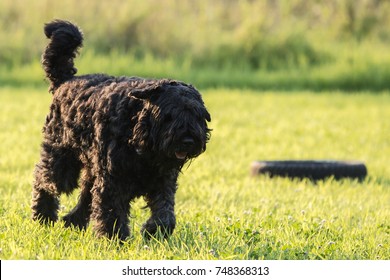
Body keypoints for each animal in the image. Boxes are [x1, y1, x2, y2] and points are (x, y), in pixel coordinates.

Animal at [30, 19, 212, 242]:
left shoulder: (162, 181)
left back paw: (73, 221)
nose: (188, 140)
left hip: (91, 169)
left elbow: (165, 211)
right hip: (62, 161)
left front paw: (154, 231)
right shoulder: (113, 181)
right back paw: (43, 216)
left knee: (85, 195)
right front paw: (114, 238)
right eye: (169, 115)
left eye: (197, 114)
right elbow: (112, 211)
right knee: (44, 180)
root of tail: (64, 82)